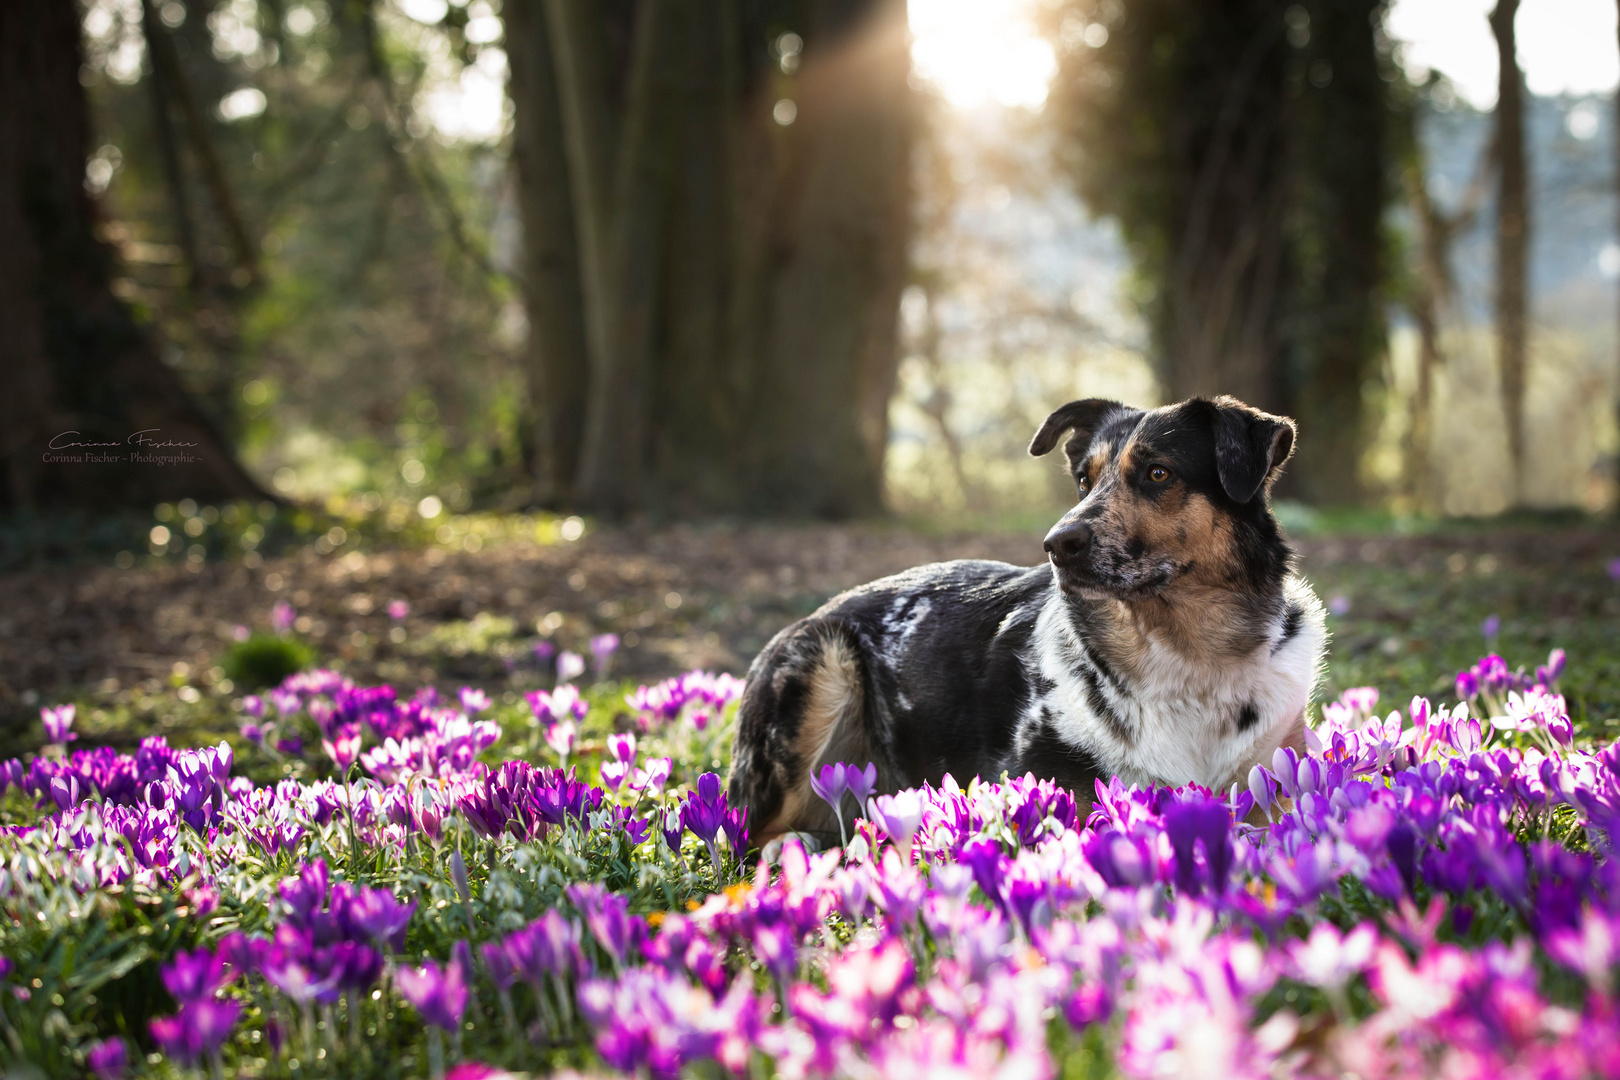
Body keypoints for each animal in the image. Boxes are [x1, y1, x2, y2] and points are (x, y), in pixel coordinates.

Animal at [729, 393, 1321, 848]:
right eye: (1083, 480)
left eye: (1158, 473)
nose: (1057, 543)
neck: (1185, 655)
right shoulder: (1043, 782)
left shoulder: (1276, 775)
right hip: (816, 680)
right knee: (753, 836)